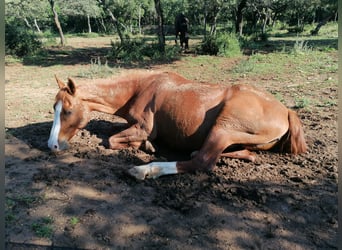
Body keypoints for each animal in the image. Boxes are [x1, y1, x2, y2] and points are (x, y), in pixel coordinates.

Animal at [48, 70, 308, 180]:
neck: (140, 88)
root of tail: (286, 111)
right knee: (246, 154)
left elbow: (110, 140)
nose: (52, 145)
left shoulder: (143, 127)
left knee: (202, 161)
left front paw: (145, 147)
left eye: (68, 111)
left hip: (223, 128)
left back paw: (145, 170)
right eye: (54, 108)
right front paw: (147, 146)